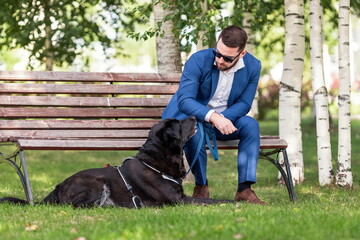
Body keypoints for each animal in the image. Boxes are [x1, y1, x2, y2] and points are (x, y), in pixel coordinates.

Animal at [0, 117, 232, 207]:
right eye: (179, 123)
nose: (194, 117)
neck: (156, 161)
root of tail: (58, 188)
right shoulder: (178, 200)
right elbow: (213, 200)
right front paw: (236, 202)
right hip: (96, 183)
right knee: (78, 205)